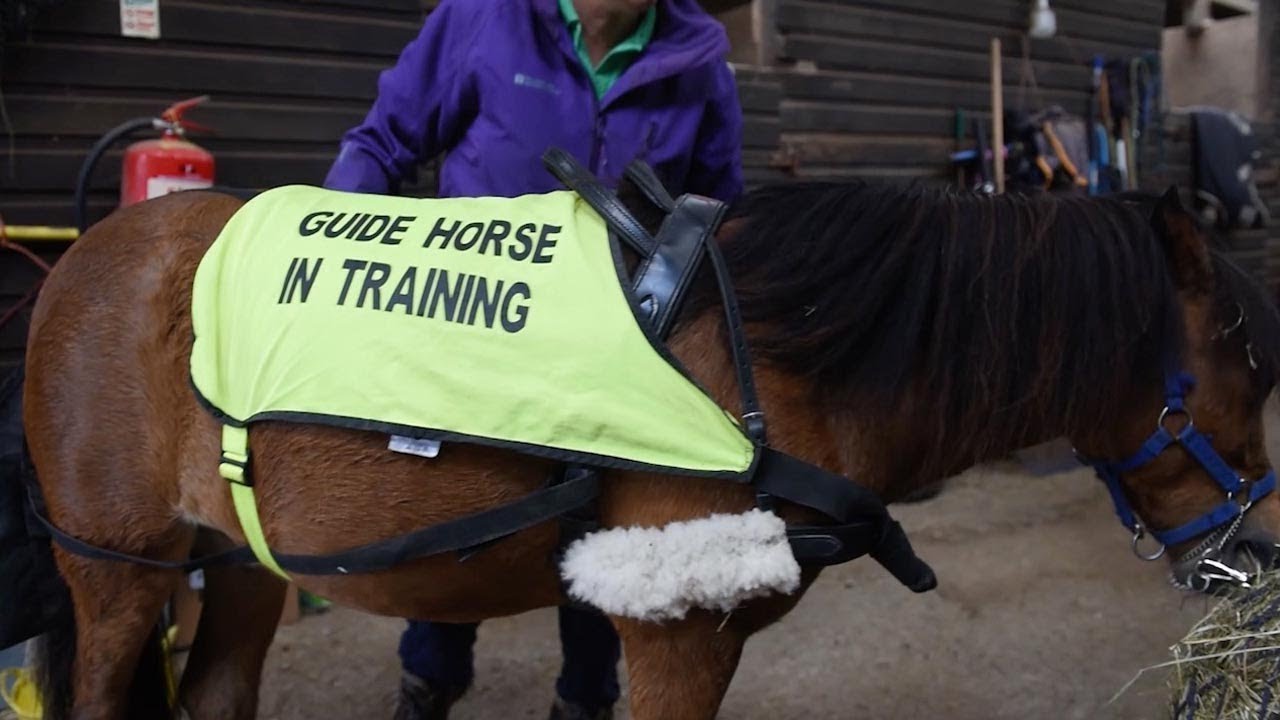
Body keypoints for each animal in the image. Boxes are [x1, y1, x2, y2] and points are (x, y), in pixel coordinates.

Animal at [20, 178, 1280, 720]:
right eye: (1250, 367)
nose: (1256, 550)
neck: (778, 347)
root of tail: (80, 257)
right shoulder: (681, 636)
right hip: (115, 570)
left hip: (236, 567)